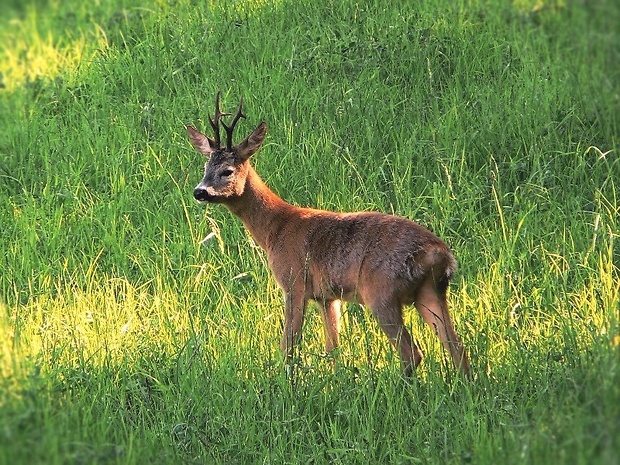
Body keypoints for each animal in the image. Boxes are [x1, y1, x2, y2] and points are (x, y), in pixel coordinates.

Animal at [188, 93, 470, 376]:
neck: (275, 229)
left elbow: (288, 346)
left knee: (412, 353)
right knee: (458, 348)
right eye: (205, 167)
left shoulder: (294, 282)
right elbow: (333, 348)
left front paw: (286, 379)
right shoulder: (328, 297)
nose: (199, 191)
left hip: (382, 292)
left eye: (227, 171)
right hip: (430, 292)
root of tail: (439, 255)